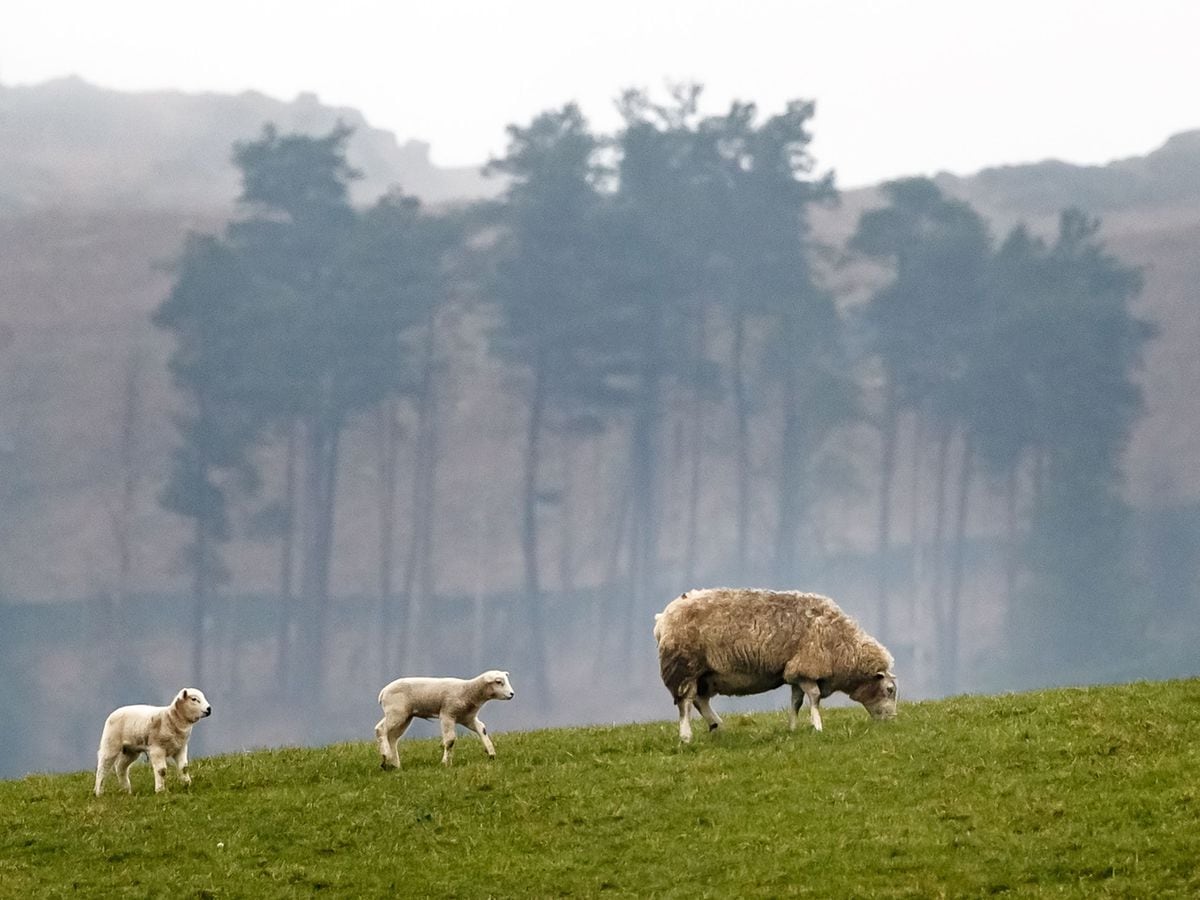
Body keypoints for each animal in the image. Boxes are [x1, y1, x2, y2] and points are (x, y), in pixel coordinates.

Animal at [374, 672, 516, 768]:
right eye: (499, 682)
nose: (512, 694)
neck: (468, 691)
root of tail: (383, 692)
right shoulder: (447, 714)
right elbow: (450, 740)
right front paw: (445, 763)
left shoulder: (467, 718)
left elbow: (482, 729)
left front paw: (491, 752)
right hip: (396, 712)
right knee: (380, 729)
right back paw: (386, 755)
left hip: (405, 716)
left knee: (392, 738)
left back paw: (395, 764)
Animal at [652, 588, 897, 744]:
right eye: (890, 690)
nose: (892, 721)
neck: (843, 645)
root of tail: (663, 618)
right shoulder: (807, 666)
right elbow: (815, 697)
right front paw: (817, 726)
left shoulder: (795, 672)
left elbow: (797, 701)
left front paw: (793, 727)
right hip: (684, 665)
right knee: (685, 702)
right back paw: (686, 736)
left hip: (706, 673)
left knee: (700, 700)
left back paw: (716, 726)